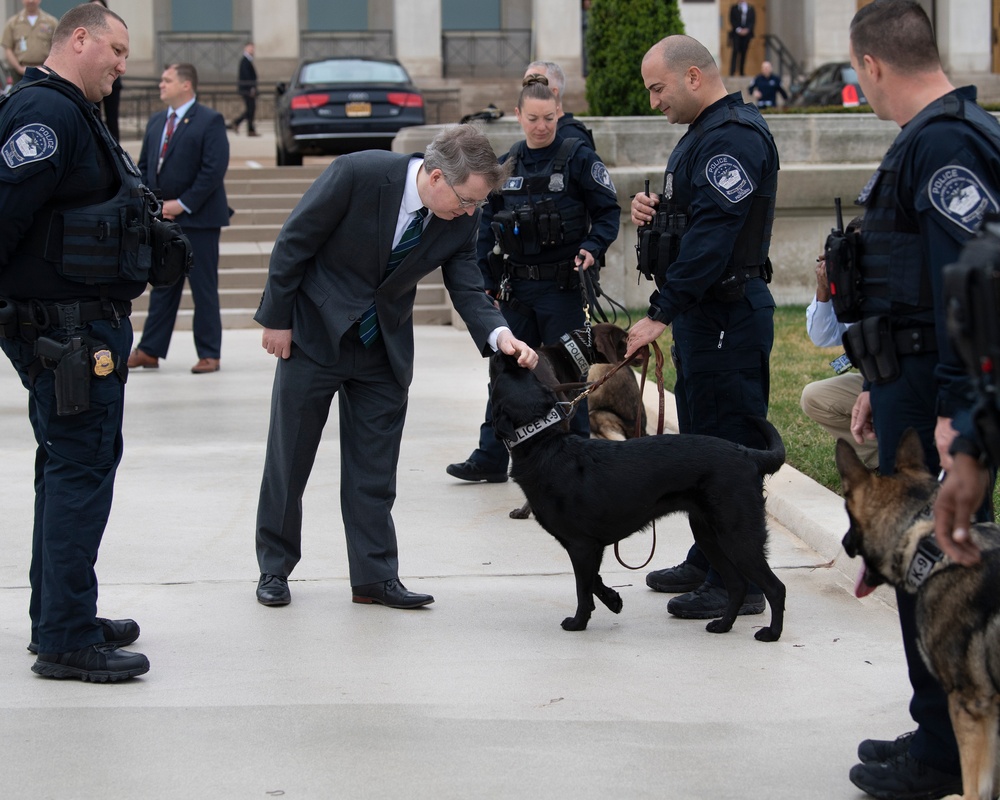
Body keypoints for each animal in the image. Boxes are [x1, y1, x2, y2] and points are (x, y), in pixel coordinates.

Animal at [488, 354, 784, 640]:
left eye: (501, 375)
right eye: (524, 373)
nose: (505, 353)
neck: (543, 445)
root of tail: (748, 455)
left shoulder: (581, 545)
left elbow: (583, 589)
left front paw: (578, 623)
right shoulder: (591, 546)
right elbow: (594, 581)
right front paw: (613, 600)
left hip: (738, 536)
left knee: (774, 587)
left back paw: (771, 634)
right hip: (709, 535)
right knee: (738, 584)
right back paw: (722, 626)